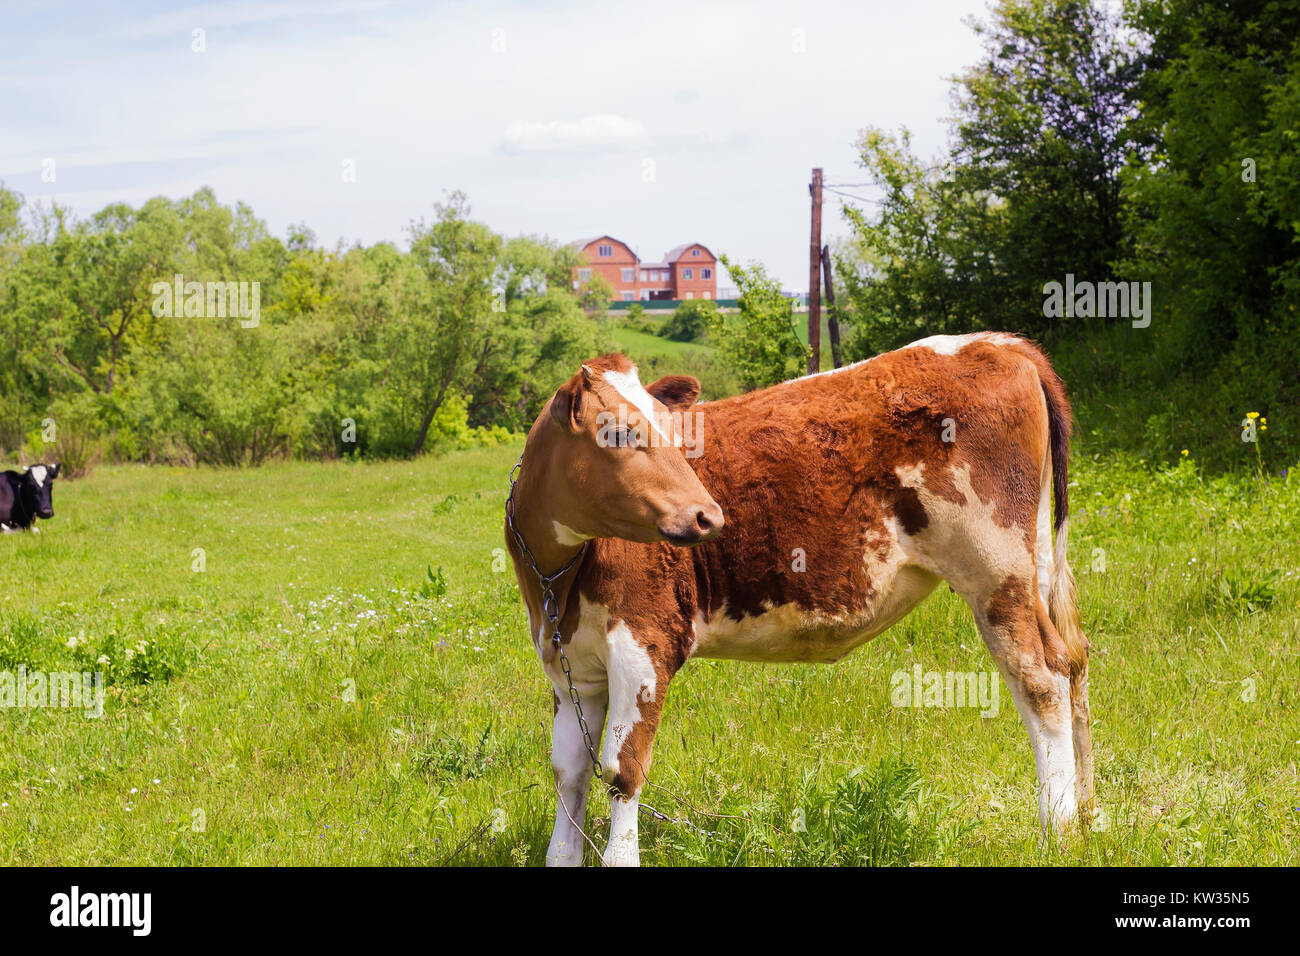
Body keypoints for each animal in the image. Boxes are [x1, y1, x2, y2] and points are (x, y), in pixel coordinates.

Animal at [505, 332, 1091, 866]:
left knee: (1041, 678)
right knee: (1073, 662)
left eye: (675, 432)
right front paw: (562, 856)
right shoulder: (568, 664)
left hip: (996, 569)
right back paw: (1089, 814)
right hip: (1035, 568)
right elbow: (570, 772)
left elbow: (621, 770)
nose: (708, 515)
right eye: (619, 432)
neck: (556, 579)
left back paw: (1057, 828)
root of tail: (1003, 343)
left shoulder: (643, 644)